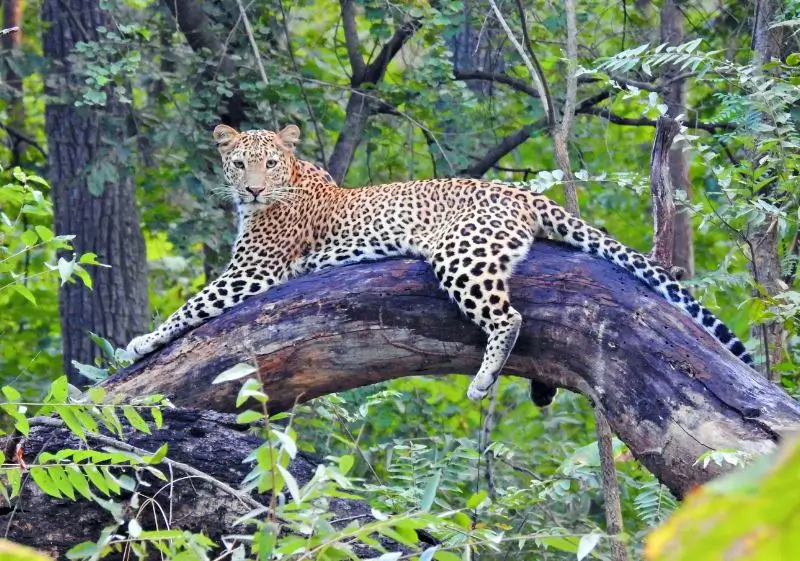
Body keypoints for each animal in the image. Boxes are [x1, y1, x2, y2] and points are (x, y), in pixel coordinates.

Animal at [127, 124, 753, 402]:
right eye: (238, 164)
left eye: (270, 164)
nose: (253, 190)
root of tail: (523, 193)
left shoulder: (254, 271)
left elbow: (194, 304)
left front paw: (140, 342)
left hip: (460, 255)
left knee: (510, 318)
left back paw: (482, 380)